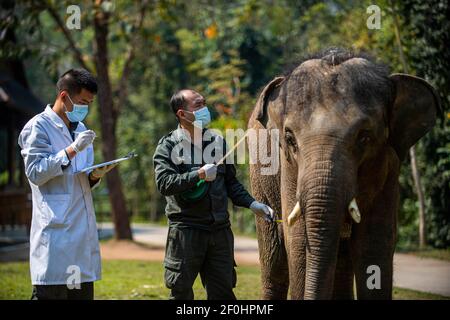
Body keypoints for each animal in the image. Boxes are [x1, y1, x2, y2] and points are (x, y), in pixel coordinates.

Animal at [246, 48, 440, 300]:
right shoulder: (289, 169)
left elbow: (374, 244)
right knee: (275, 262)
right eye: (289, 139)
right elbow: (298, 240)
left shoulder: (388, 167)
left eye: (364, 137)